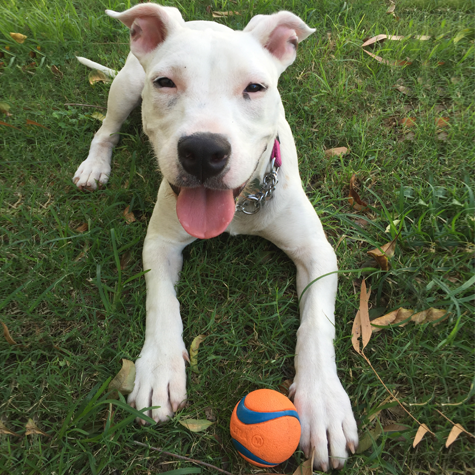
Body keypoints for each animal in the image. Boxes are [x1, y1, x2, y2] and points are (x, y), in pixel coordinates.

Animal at [73, 4, 358, 470]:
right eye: (166, 82)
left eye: (255, 88)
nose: (204, 151)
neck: (243, 203)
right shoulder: (160, 243)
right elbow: (161, 303)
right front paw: (159, 370)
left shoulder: (316, 253)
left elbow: (316, 324)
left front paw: (323, 405)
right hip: (125, 85)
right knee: (106, 128)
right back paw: (95, 165)